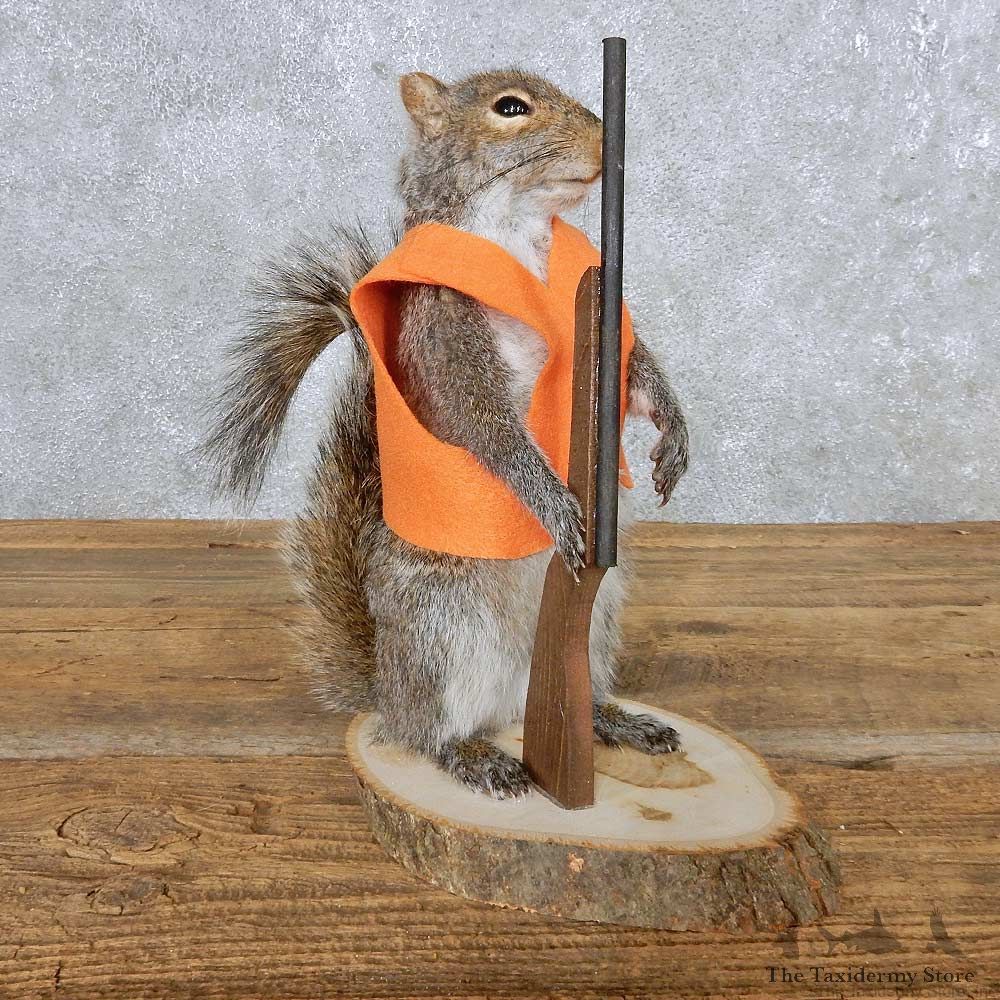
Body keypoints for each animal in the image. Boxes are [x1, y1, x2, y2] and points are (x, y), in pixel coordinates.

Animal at [204, 68, 690, 799]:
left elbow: (635, 372)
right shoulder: (442, 333)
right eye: (510, 108)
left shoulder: (598, 308)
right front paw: (552, 502)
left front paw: (673, 428)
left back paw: (614, 721)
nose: (608, 141)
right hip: (439, 629)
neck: (515, 230)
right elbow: (486, 425)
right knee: (424, 732)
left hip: (601, 622)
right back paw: (474, 757)